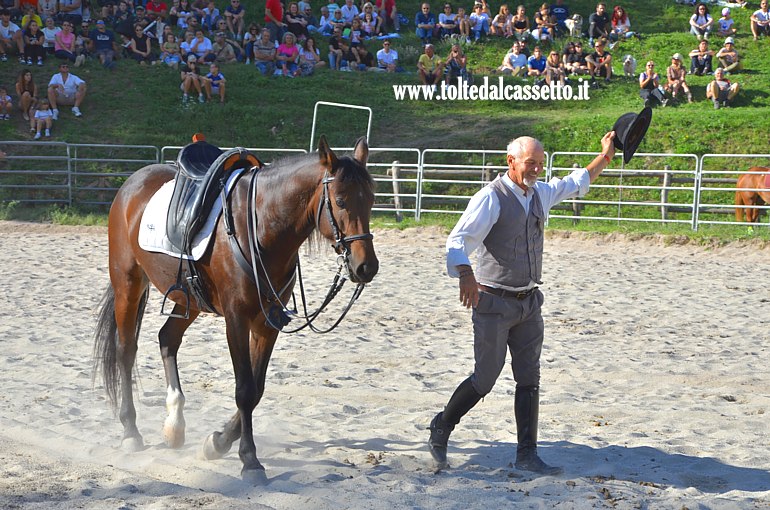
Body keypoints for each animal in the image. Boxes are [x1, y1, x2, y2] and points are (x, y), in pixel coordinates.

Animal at [93, 136, 379, 484]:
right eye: (339, 200)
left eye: (372, 199)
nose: (366, 266)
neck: (260, 226)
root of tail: (132, 183)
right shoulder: (237, 320)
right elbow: (244, 389)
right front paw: (249, 459)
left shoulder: (268, 325)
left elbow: (256, 389)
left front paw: (218, 442)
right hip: (128, 284)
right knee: (126, 350)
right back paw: (131, 431)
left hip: (188, 298)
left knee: (167, 339)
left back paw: (174, 425)